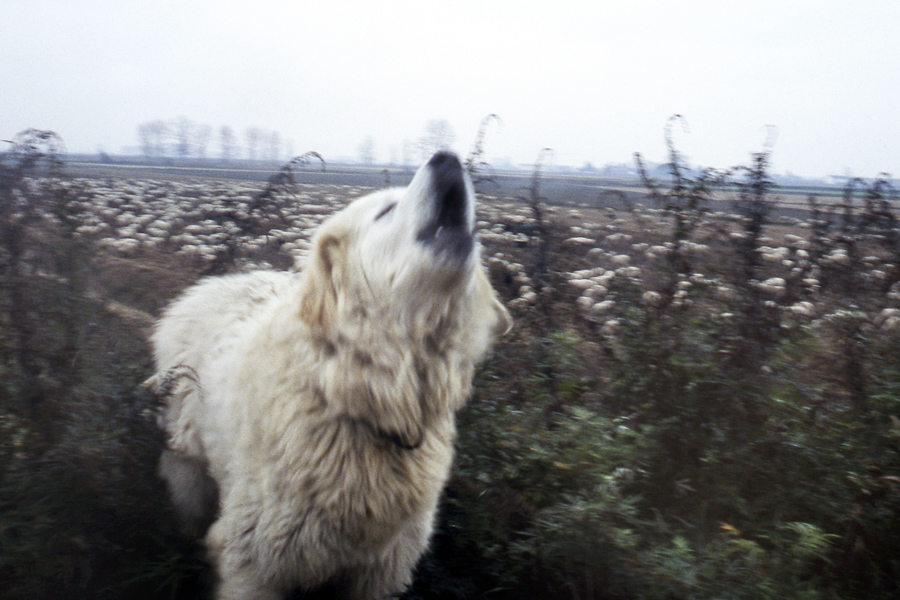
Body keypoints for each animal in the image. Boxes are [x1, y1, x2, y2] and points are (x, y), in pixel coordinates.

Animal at [149, 152, 512, 596]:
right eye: (386, 211)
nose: (447, 157)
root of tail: (203, 288)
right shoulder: (253, 562)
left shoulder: (380, 571)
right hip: (187, 469)